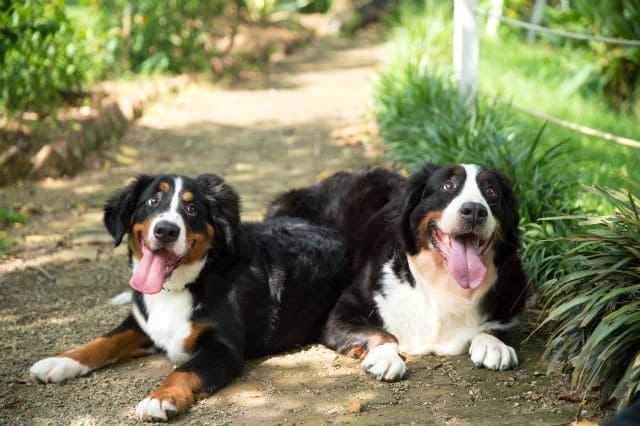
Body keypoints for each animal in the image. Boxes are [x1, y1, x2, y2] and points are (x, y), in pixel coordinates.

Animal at [30, 172, 350, 420]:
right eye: (152, 201)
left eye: (192, 208)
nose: (166, 230)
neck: (177, 289)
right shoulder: (141, 324)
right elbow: (103, 341)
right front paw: (61, 361)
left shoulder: (223, 347)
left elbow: (184, 370)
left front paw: (161, 398)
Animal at [268, 164, 528, 382]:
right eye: (447, 186)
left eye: (491, 191)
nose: (474, 210)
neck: (442, 284)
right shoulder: (343, 310)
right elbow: (385, 335)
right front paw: (385, 358)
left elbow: (490, 327)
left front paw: (493, 344)